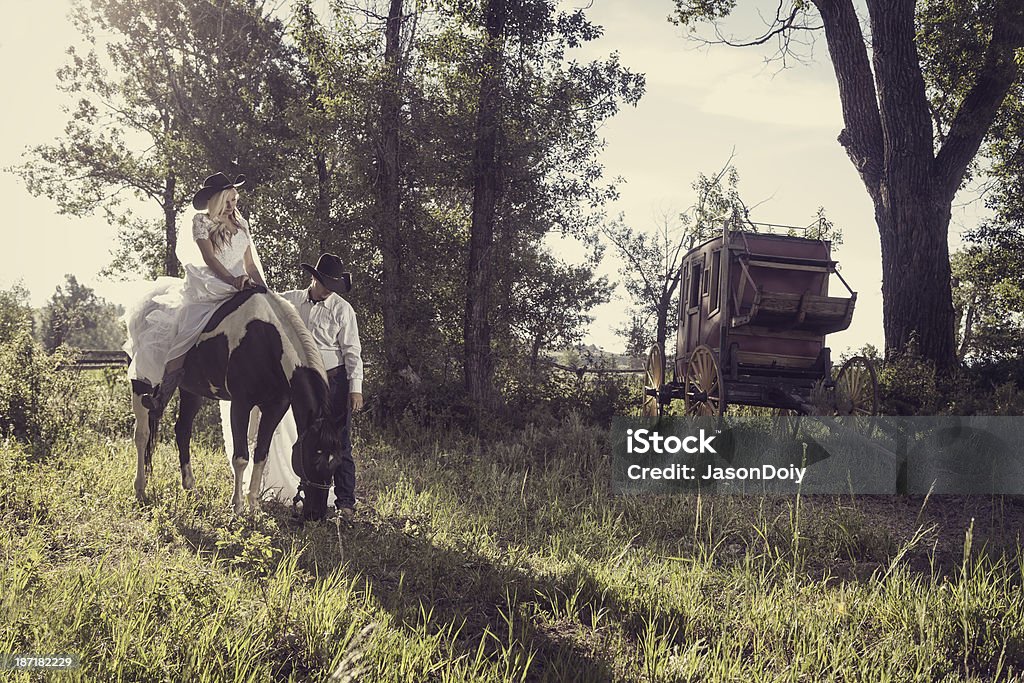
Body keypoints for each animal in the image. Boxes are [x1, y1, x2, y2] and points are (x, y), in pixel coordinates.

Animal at [132, 290, 344, 524]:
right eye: (314, 457)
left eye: (337, 461)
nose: (316, 515)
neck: (265, 340)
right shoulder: (241, 404)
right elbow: (241, 457)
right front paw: (237, 507)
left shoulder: (275, 407)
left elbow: (261, 455)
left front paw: (254, 507)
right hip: (141, 381)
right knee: (142, 435)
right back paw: (140, 490)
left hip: (192, 390)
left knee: (183, 431)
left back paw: (191, 489)